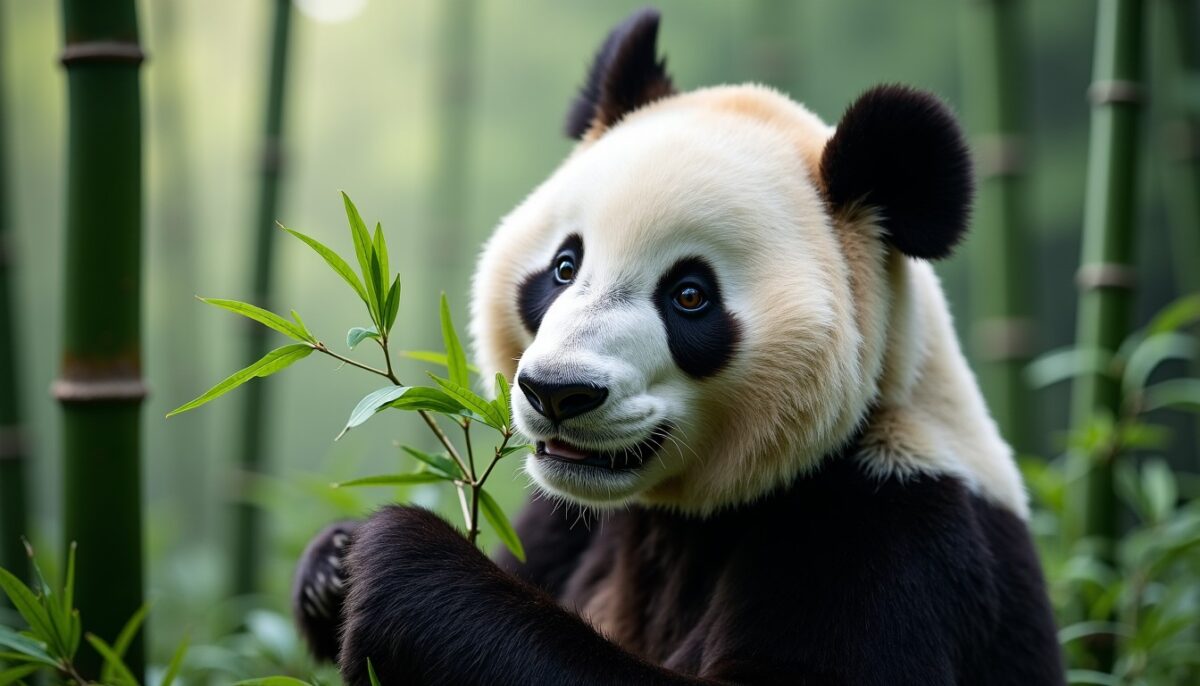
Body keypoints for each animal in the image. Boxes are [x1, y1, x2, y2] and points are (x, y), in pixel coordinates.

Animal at [293, 9, 1065, 685]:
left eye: (690, 296)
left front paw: (393, 563)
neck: (686, 513)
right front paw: (331, 568)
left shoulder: (895, 523)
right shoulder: (571, 525)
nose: (558, 393)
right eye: (564, 266)